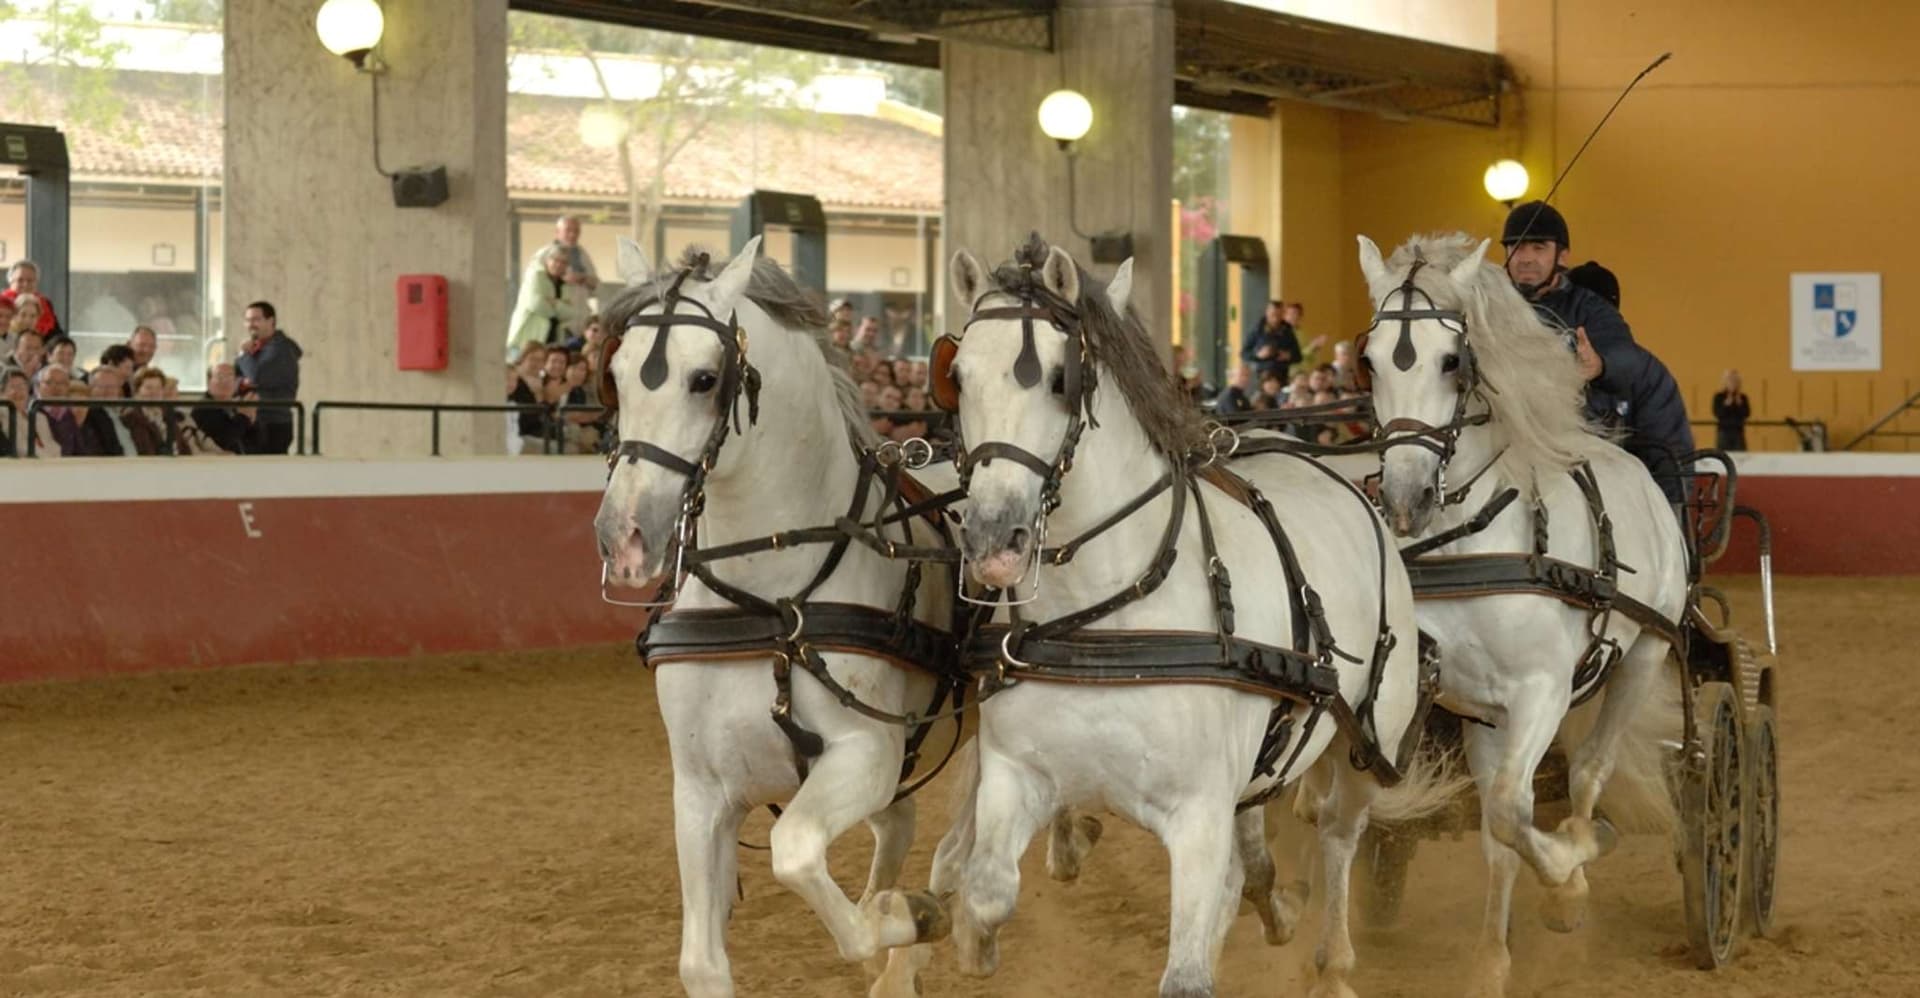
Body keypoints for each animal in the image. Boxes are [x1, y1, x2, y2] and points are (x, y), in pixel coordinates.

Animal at [593, 236, 961, 998]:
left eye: (705, 379)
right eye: (614, 375)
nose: (624, 537)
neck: (764, 606)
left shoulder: (865, 753)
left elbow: (794, 852)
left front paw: (906, 919)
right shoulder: (700, 788)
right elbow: (701, 963)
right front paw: (894, 918)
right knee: (901, 824)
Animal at [936, 234, 1455, 998]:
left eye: (1059, 379)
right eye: (958, 376)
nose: (993, 537)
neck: (1105, 622)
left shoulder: (1199, 814)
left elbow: (1187, 971)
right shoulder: (1013, 772)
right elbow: (986, 895)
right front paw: (984, 926)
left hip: (1371, 741)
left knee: (1339, 836)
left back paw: (1330, 958)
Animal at [1353, 232, 1688, 997]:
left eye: (1453, 361)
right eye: (1370, 360)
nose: (1406, 499)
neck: (1478, 538)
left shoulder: (1543, 690)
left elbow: (1516, 809)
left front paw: (1566, 885)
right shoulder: (1465, 698)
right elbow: (1500, 824)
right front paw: (1490, 960)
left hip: (1644, 654)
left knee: (1591, 768)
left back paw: (1582, 855)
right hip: (1490, 717)